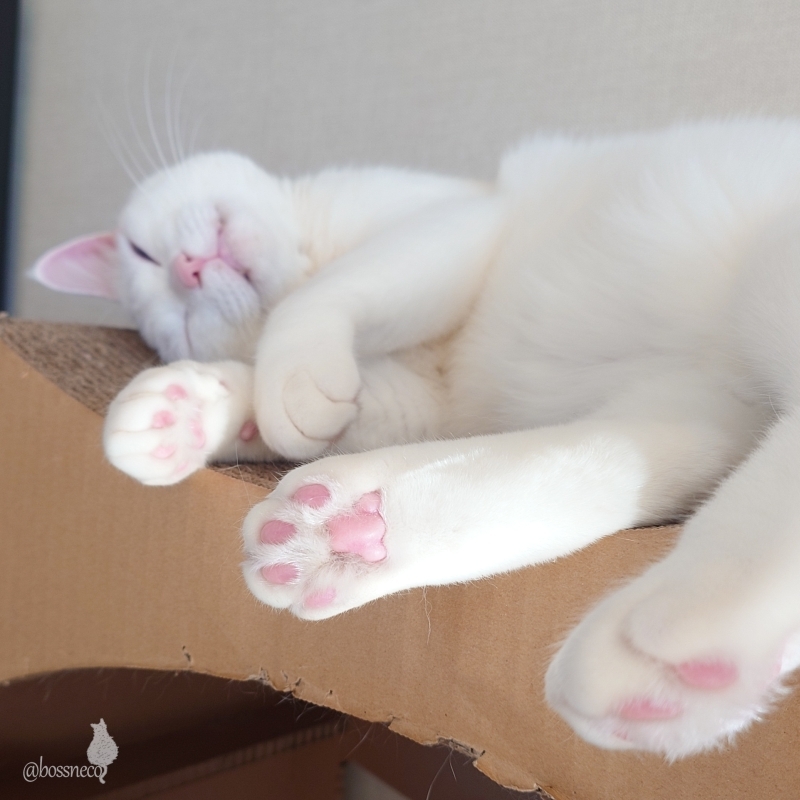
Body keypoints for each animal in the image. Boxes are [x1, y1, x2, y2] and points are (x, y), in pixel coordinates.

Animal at [32, 119, 800, 760]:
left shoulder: (454, 222)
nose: (188, 269)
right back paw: (347, 530)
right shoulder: (430, 402)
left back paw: (684, 629)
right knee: (591, 462)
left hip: (762, 280)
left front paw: (283, 384)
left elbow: (318, 302)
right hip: (692, 412)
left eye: (143, 251)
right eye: (177, 317)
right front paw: (186, 414)